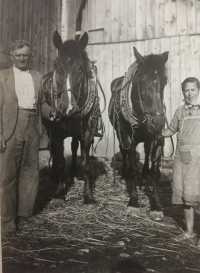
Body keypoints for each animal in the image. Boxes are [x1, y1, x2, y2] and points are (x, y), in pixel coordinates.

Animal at [42, 30, 104, 203]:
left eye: (81, 67)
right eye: (56, 65)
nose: (67, 107)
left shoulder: (87, 134)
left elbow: (86, 164)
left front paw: (88, 195)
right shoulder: (56, 133)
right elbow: (59, 162)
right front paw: (59, 191)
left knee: (74, 146)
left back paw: (74, 171)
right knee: (53, 152)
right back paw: (54, 175)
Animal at [108, 47, 168, 221]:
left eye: (165, 81)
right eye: (142, 82)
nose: (158, 123)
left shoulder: (156, 139)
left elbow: (155, 171)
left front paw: (156, 206)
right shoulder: (128, 137)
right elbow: (133, 166)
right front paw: (133, 202)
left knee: (146, 152)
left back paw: (144, 174)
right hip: (120, 135)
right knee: (125, 153)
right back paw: (124, 174)